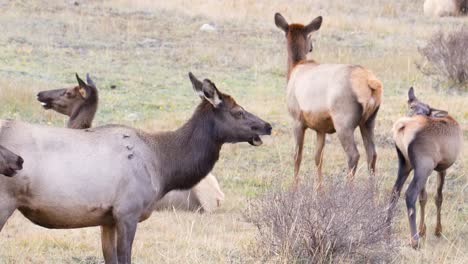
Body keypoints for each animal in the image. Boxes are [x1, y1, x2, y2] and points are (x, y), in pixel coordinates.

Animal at [274, 12, 384, 188]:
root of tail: (371, 83)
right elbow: (318, 158)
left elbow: (297, 156)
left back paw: (348, 190)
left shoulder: (297, 119)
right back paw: (371, 193)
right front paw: (318, 190)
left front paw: (294, 188)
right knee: (372, 154)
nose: (311, 47)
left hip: (343, 121)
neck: (294, 69)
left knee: (354, 155)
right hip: (369, 120)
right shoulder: (321, 127)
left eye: (310, 36)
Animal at [386, 87, 462, 249]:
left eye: (426, 110)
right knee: (410, 194)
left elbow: (423, 197)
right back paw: (414, 241)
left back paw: (386, 231)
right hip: (424, 165)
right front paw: (437, 230)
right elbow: (438, 197)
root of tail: (402, 127)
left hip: (405, 163)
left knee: (395, 191)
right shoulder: (441, 167)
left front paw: (423, 230)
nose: (418, 114)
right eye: (411, 106)